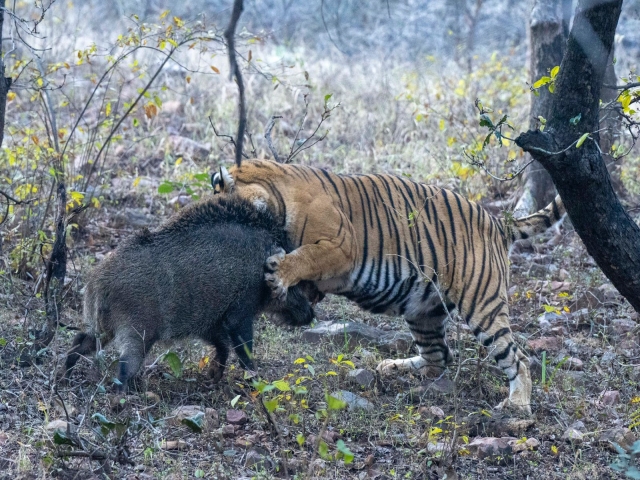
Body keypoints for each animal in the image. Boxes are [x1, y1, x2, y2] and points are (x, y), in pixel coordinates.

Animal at [211, 160, 564, 412]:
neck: (275, 193)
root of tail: (496, 222)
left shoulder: (342, 246)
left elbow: (305, 256)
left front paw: (280, 272)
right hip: (423, 311)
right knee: (438, 357)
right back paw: (395, 368)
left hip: (482, 305)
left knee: (517, 359)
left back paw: (518, 404)